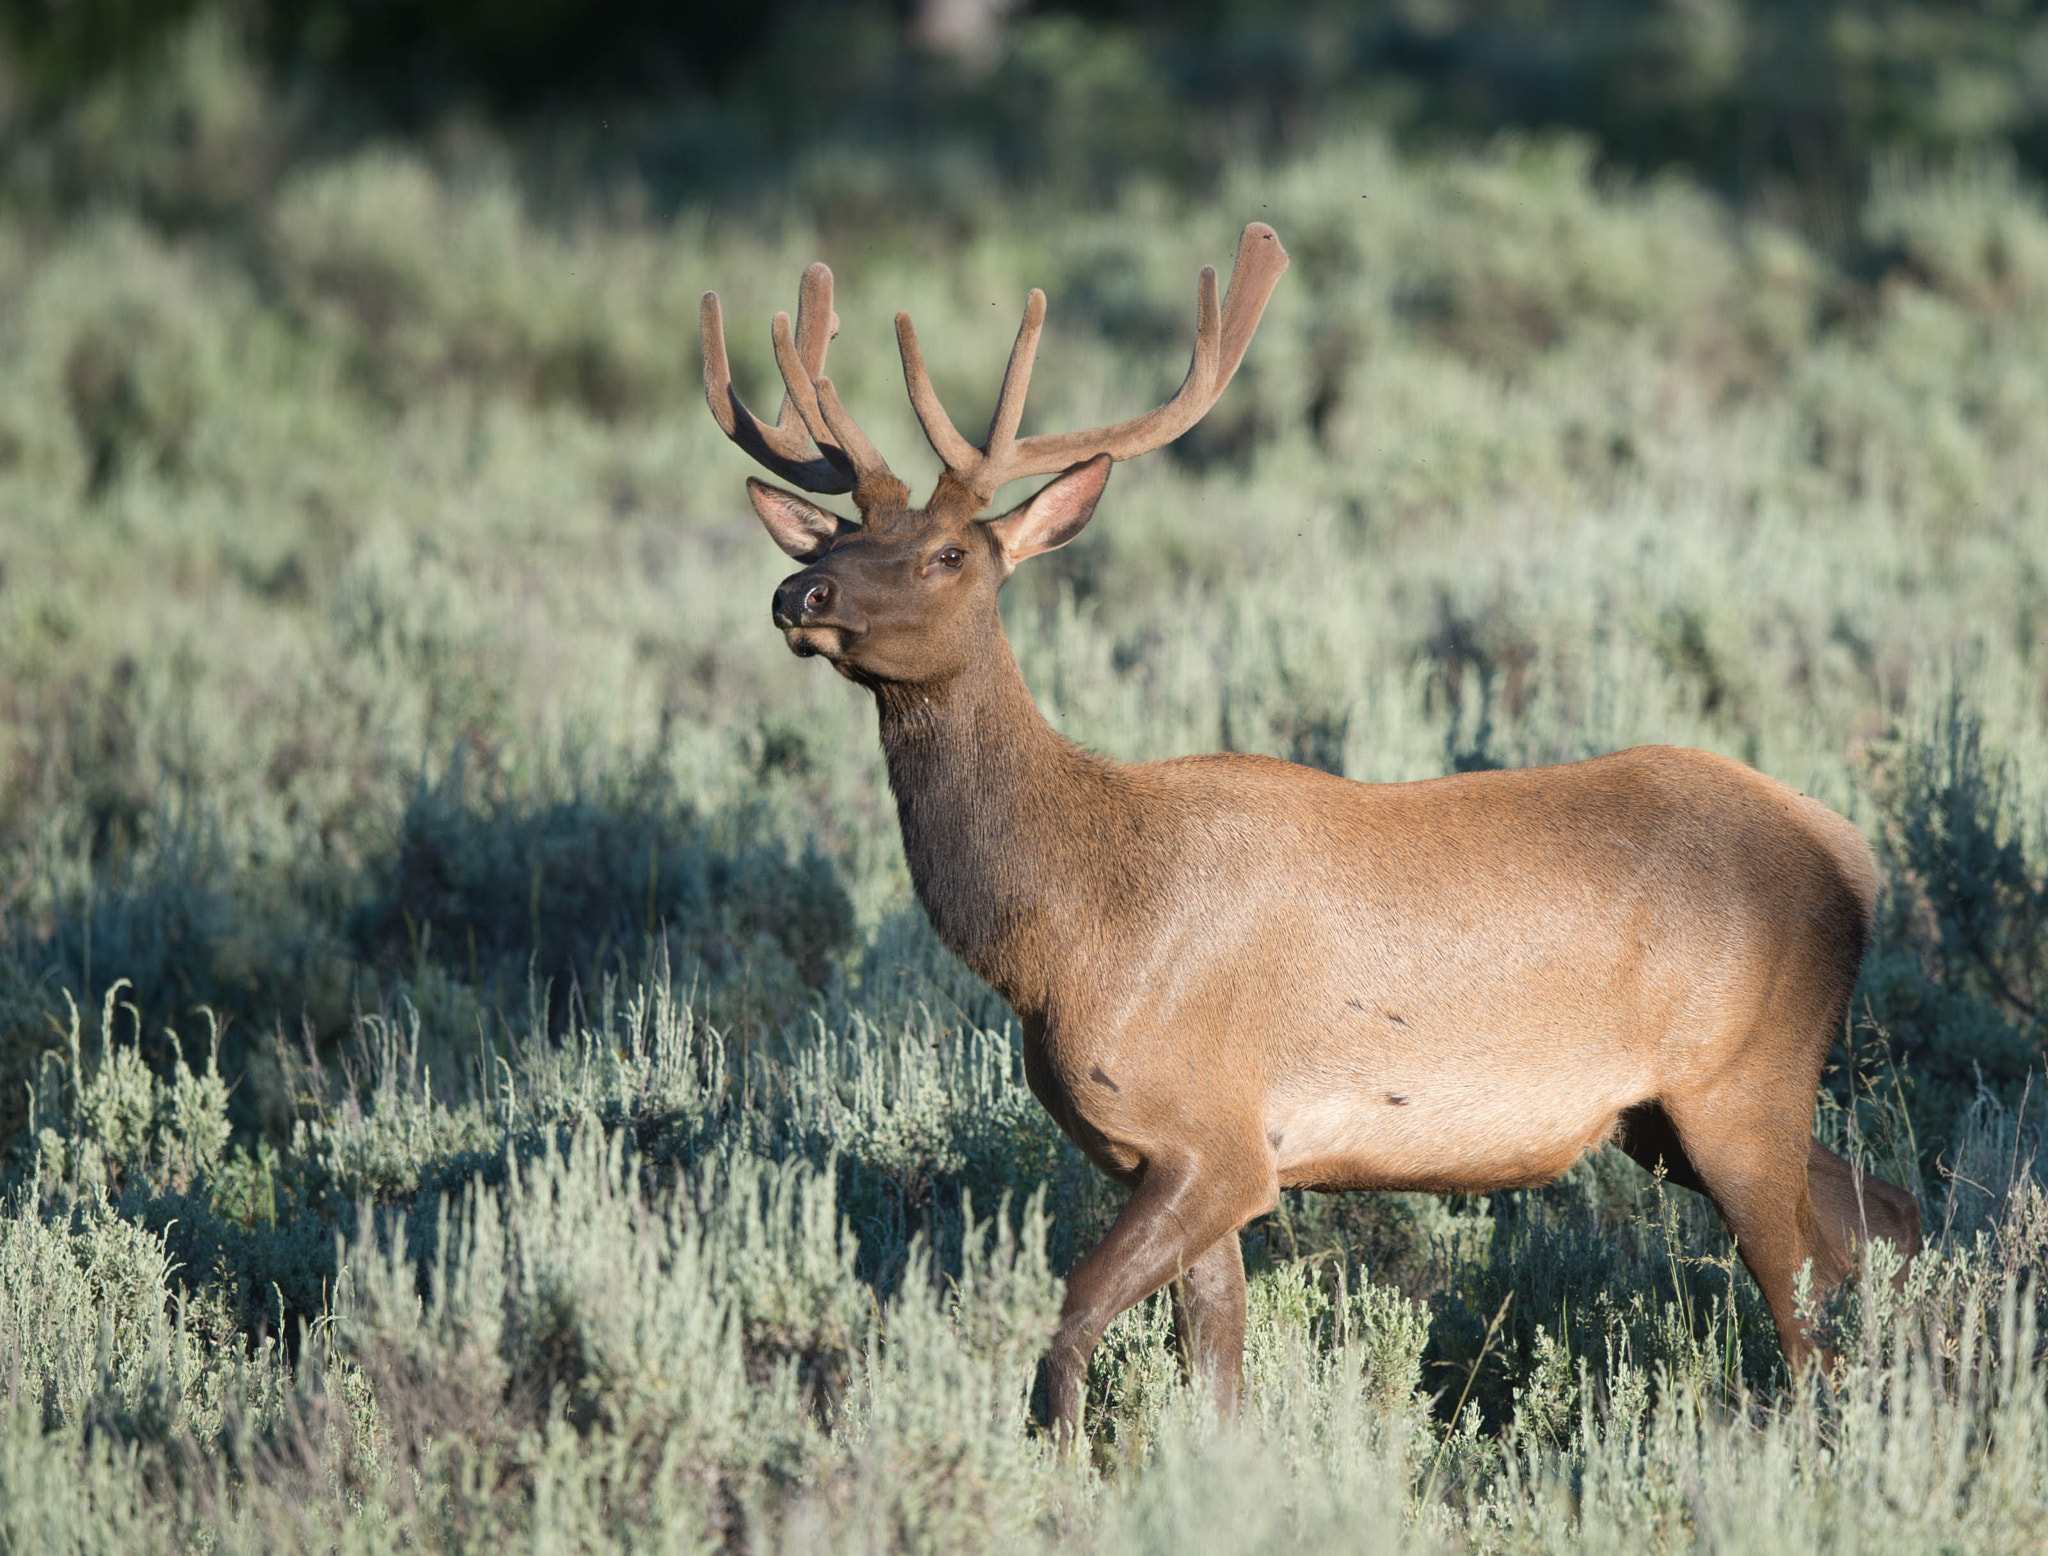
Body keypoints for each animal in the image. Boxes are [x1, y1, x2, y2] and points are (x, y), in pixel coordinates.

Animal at [700, 225, 1916, 1441]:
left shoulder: (1218, 1139)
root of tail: (1852, 856)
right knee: (1885, 1222)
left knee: (1809, 1313)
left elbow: (1071, 1319)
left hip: (1739, 1077)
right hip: (1666, 1118)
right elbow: (1216, 1367)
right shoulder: (1165, 1156)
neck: (1062, 933)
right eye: (835, 537)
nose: (799, 593)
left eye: (949, 554)